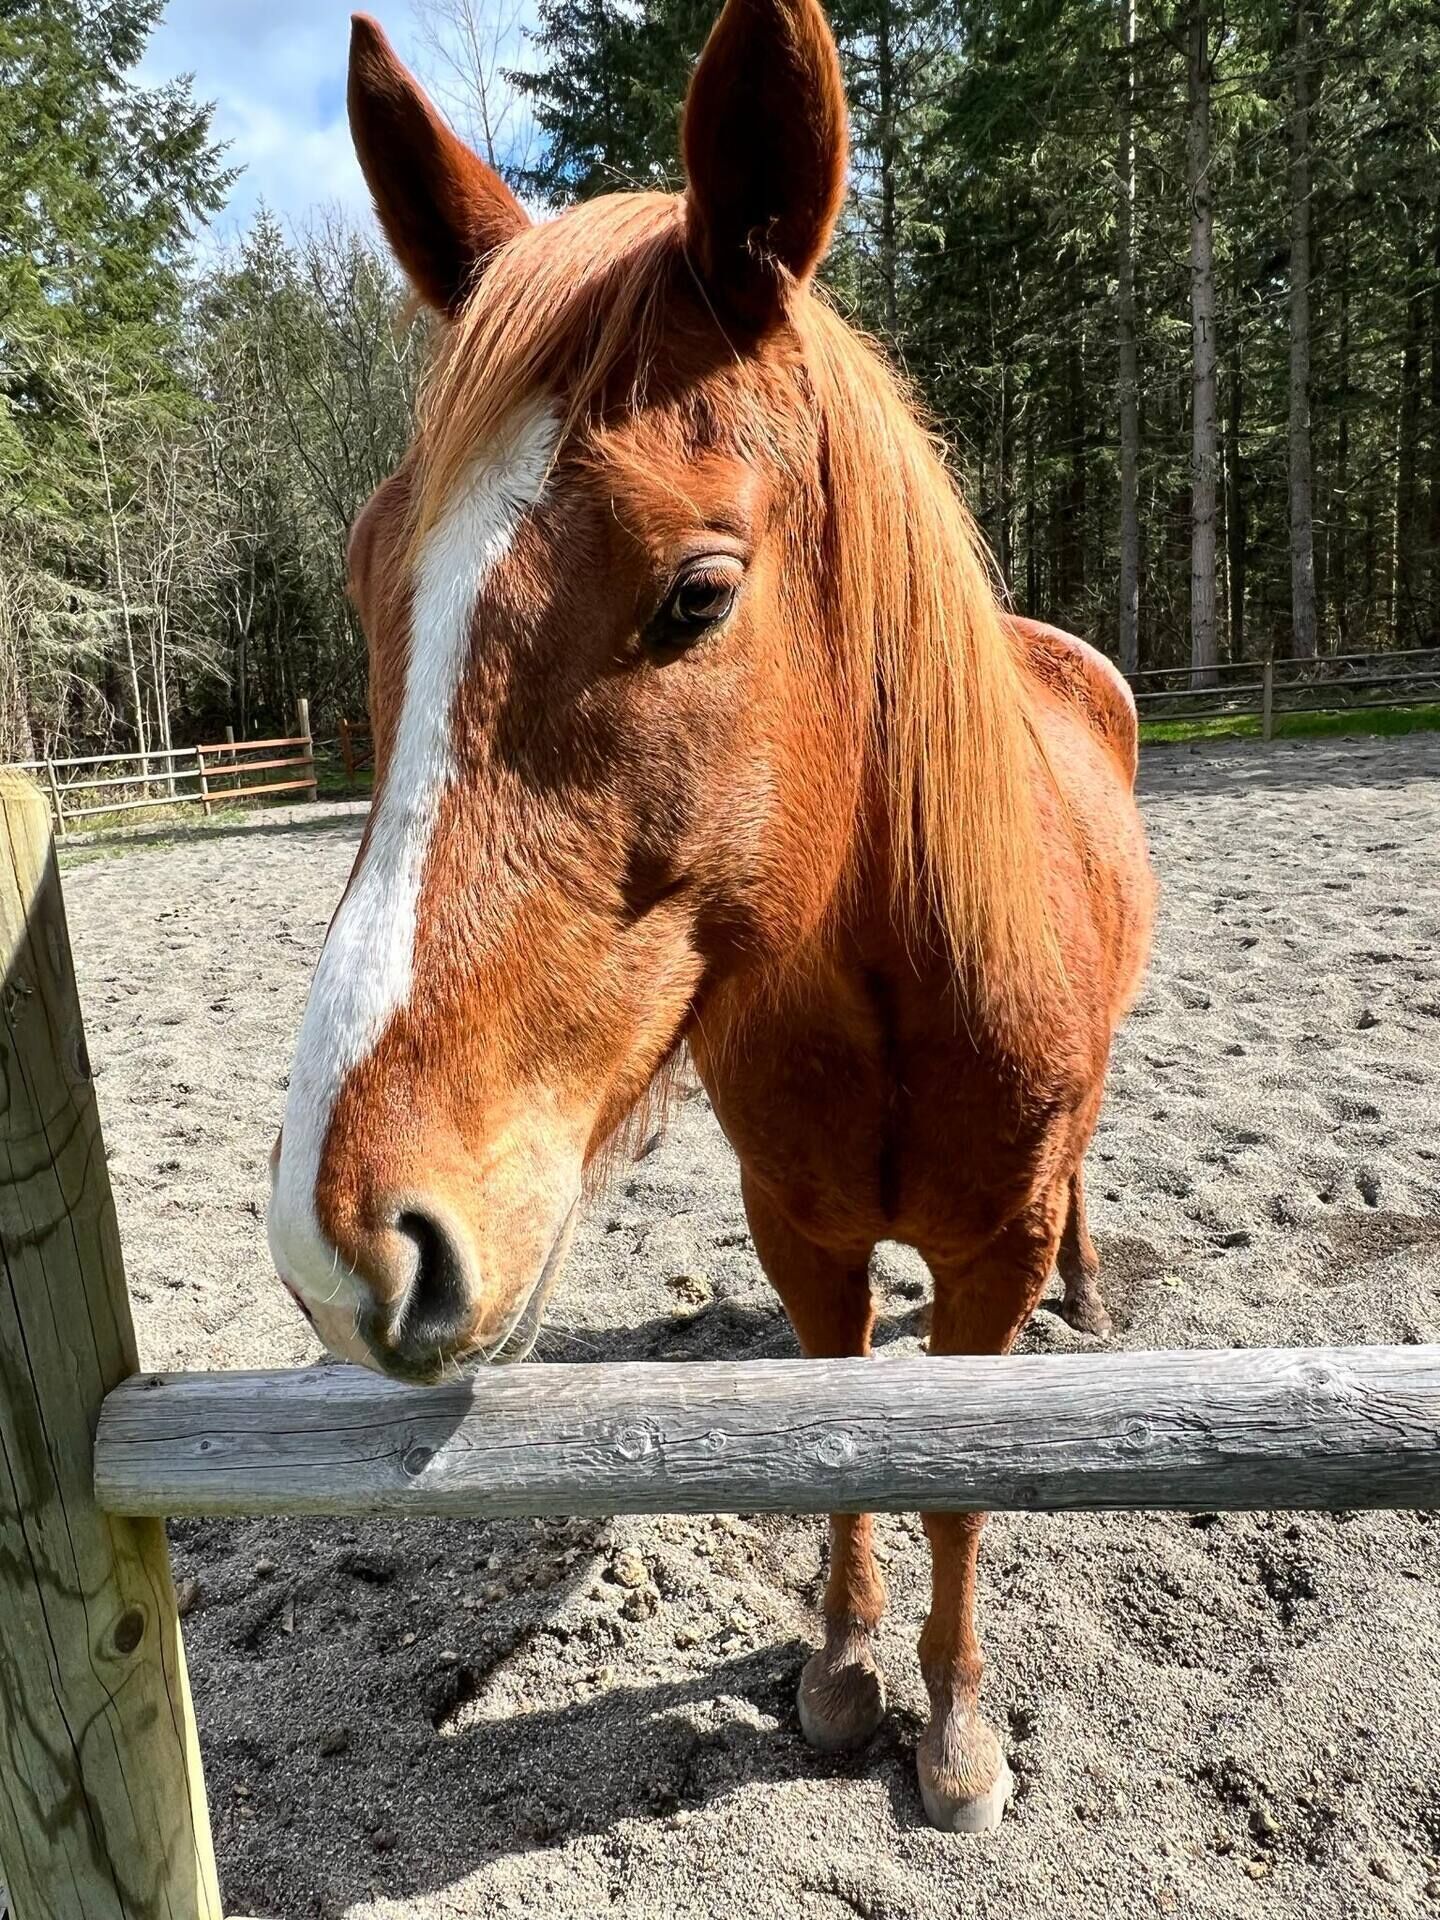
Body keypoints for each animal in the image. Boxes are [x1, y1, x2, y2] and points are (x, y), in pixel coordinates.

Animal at [267, 0, 1155, 1832]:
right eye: (376, 577)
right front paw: (842, 1671)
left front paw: (954, 1728)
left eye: (697, 593)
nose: (346, 1241)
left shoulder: (988, 1255)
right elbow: (845, 1429)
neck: (896, 991)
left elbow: (961, 1482)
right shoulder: (802, 1233)